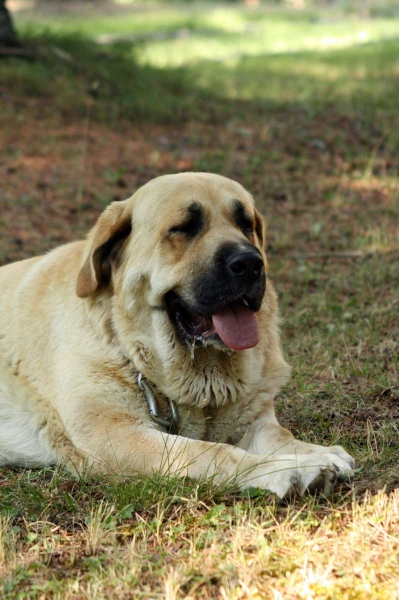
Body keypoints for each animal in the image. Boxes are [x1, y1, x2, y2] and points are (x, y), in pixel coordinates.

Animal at [0, 172, 354, 496]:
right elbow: (213, 452)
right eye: (184, 227)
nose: (250, 263)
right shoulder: (115, 436)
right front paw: (288, 469)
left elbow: (280, 436)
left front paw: (316, 453)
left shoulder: (253, 420)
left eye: (246, 224)